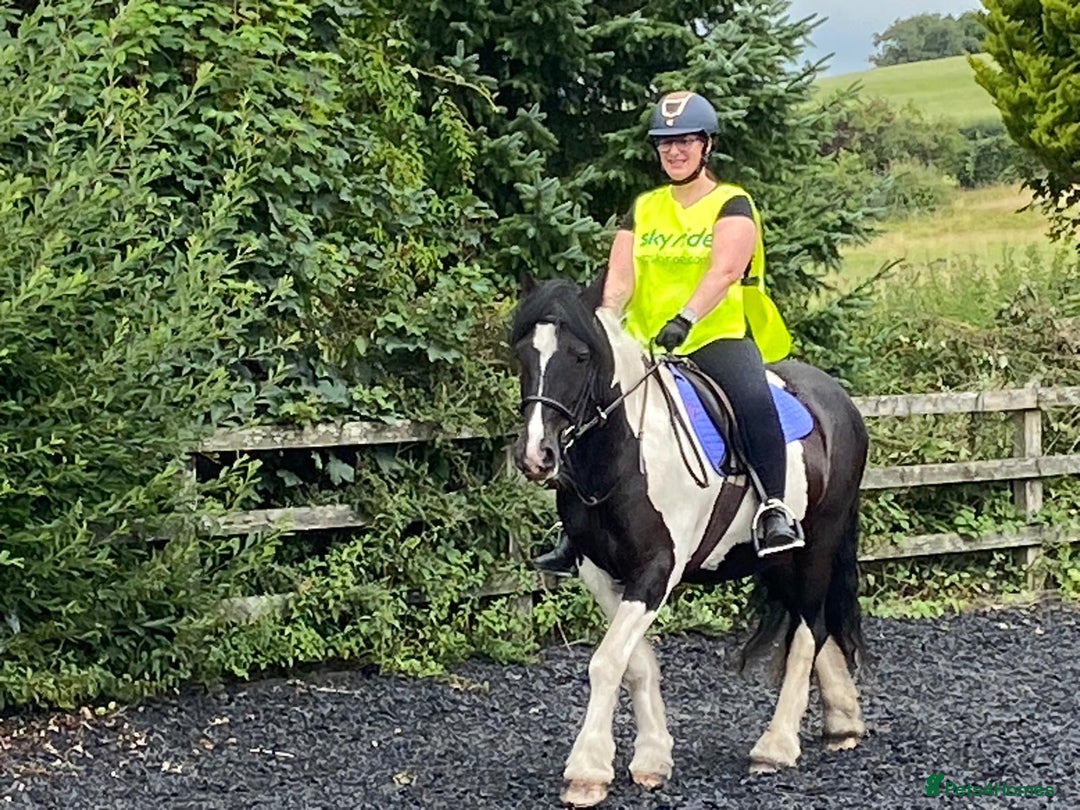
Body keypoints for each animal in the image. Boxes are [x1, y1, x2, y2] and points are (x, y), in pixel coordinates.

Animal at [509, 276, 869, 808]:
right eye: (522, 356)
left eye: (579, 355)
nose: (536, 456)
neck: (625, 457)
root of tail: (837, 400)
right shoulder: (600, 573)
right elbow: (635, 663)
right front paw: (652, 758)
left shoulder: (657, 569)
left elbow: (607, 661)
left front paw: (587, 771)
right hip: (781, 559)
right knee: (813, 622)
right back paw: (843, 721)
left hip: (819, 544)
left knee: (810, 630)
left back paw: (776, 746)